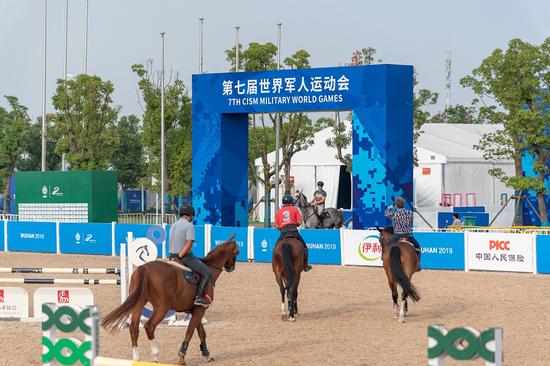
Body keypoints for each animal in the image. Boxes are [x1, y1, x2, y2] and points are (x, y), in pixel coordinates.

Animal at [102, 236, 240, 364]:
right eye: (236, 253)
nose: (231, 268)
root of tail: (144, 268)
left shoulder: (196, 310)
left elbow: (201, 332)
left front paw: (206, 354)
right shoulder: (201, 309)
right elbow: (190, 332)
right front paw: (182, 356)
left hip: (139, 304)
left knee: (134, 329)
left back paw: (137, 358)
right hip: (162, 308)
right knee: (149, 326)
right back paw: (155, 355)